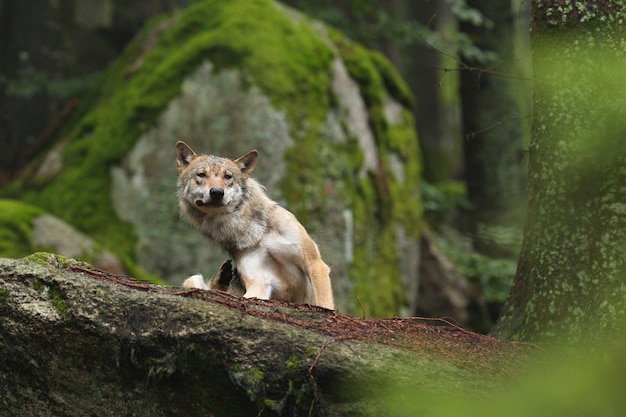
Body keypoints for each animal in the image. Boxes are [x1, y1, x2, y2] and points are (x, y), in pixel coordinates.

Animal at [173, 141, 334, 308]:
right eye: (201, 175)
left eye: (228, 176)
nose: (217, 192)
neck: (254, 233)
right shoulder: (258, 283)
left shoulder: (315, 263)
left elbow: (325, 304)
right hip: (192, 279)